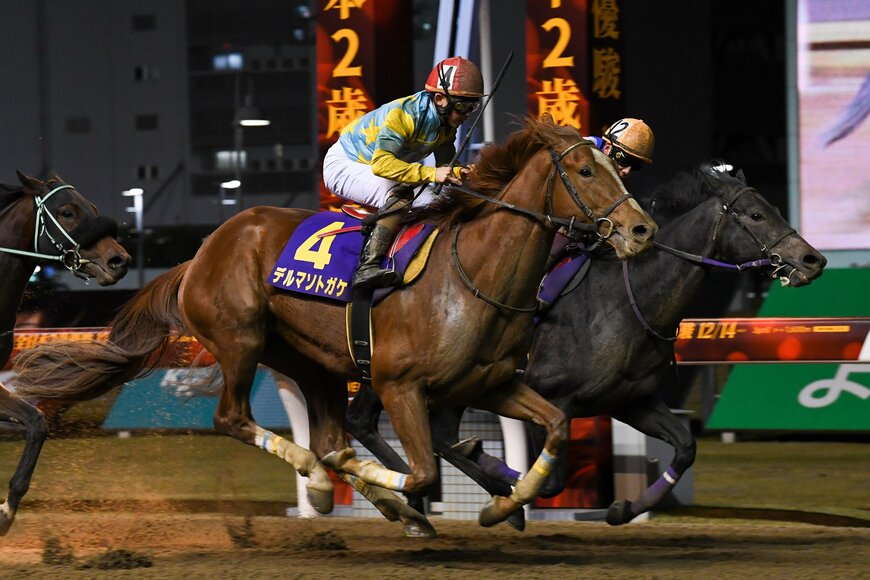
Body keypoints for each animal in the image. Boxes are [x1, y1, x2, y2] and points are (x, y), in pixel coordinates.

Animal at [12, 116, 657, 531]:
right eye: (584, 169)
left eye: (617, 168)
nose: (641, 229)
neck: (474, 275)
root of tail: (201, 251)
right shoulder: (400, 386)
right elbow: (420, 471)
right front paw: (398, 489)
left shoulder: (492, 383)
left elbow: (555, 428)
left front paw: (503, 503)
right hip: (241, 339)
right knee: (235, 419)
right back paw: (325, 483)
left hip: (307, 359)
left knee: (323, 434)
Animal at [344, 163, 827, 533]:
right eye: (755, 214)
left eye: (774, 208)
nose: (813, 260)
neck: (624, 301)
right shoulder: (552, 396)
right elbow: (551, 481)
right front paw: (511, 493)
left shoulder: (630, 400)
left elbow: (686, 446)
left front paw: (623, 509)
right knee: (400, 428)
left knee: (407, 429)